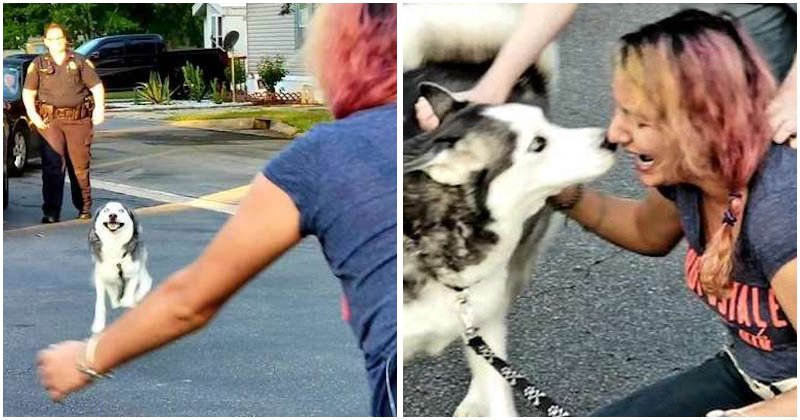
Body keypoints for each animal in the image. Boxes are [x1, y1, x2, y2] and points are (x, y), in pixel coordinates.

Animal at [88, 201, 152, 334]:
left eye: (121, 210)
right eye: (106, 210)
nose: (113, 215)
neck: (114, 242)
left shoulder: (133, 272)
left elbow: (128, 297)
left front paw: (129, 302)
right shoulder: (102, 275)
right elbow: (101, 302)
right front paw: (98, 325)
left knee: (146, 281)